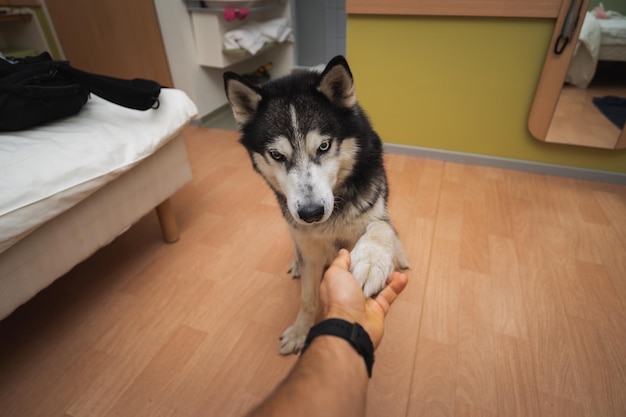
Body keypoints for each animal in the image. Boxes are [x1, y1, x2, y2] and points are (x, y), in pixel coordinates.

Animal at [222, 55, 408, 352]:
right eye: (276, 154)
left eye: (324, 146)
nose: (311, 213)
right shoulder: (307, 246)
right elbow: (308, 298)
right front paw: (301, 332)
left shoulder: (375, 214)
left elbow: (380, 229)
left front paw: (370, 262)